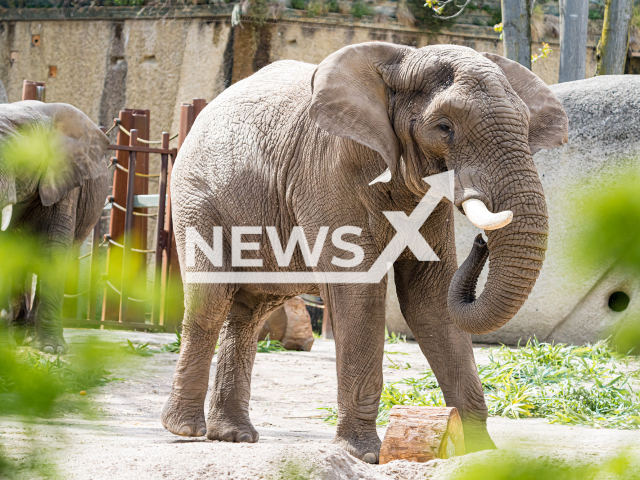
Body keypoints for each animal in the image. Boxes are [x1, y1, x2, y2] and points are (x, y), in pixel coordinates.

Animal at [162, 42, 568, 462]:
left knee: (250, 310)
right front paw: (364, 455)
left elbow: (430, 299)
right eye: (444, 127)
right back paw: (186, 429)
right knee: (211, 301)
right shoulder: (327, 171)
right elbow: (360, 292)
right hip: (196, 196)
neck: (400, 62)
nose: (481, 240)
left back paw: (234, 435)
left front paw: (480, 454)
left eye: (525, 127)